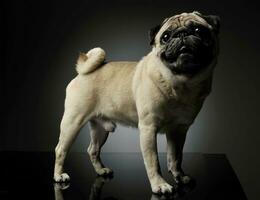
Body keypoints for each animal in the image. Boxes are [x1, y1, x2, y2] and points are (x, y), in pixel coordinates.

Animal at [53, 10, 220, 194]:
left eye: (198, 30)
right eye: (166, 37)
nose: (182, 34)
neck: (181, 83)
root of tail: (82, 73)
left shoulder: (179, 130)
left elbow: (176, 157)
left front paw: (180, 177)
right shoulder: (148, 129)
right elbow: (153, 161)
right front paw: (159, 184)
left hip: (100, 128)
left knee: (93, 150)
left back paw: (101, 170)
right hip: (72, 122)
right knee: (61, 149)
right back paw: (59, 176)